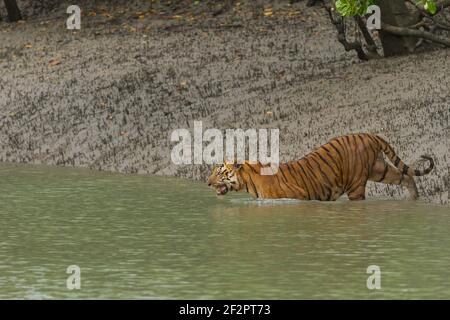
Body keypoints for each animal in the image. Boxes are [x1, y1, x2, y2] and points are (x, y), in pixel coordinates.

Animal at [208, 132, 436, 200]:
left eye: (220, 172)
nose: (207, 183)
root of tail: (369, 134)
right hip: (379, 169)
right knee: (406, 176)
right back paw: (414, 199)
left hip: (356, 184)